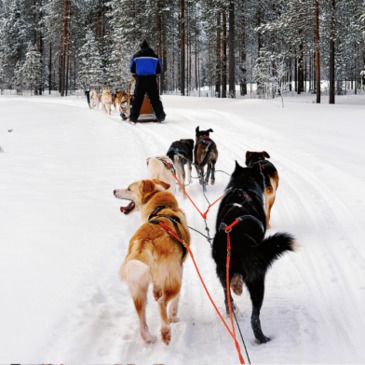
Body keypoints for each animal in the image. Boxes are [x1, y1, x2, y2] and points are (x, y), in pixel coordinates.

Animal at [113, 179, 191, 344]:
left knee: (142, 319)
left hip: (138, 289)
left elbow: (157, 289)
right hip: (174, 282)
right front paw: (174, 317)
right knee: (162, 303)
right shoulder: (180, 269)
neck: (161, 208)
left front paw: (156, 292)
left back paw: (148, 337)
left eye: (128, 189)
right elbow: (174, 303)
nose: (114, 191)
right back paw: (166, 331)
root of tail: (145, 241)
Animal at [212, 162, 294, 344]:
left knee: (227, 297)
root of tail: (236, 238)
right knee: (254, 317)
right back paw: (262, 338)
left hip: (222, 271)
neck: (243, 186)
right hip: (257, 281)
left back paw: (233, 302)